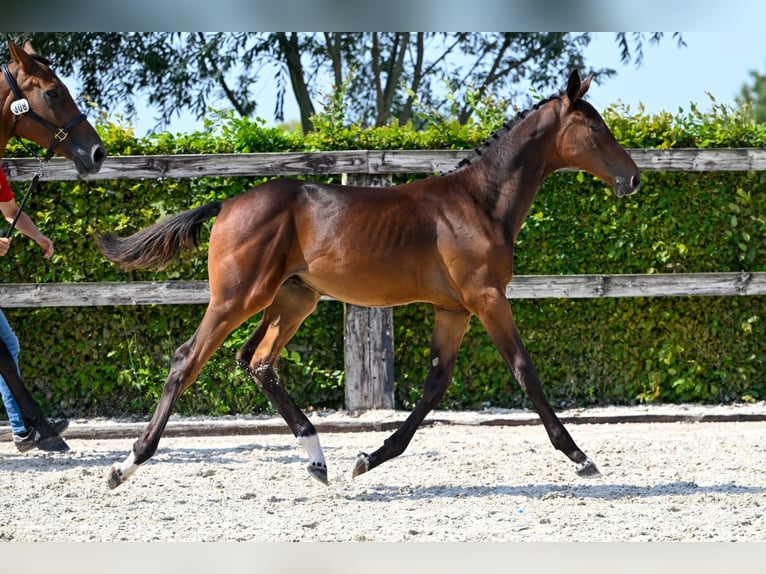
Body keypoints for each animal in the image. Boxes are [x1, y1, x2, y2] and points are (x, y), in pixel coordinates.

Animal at [99, 68, 640, 490]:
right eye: (595, 125)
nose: (632, 178)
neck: (480, 203)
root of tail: (228, 203)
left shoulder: (454, 309)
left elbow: (435, 385)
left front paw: (368, 458)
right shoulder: (487, 298)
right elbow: (525, 370)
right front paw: (580, 457)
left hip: (293, 299)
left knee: (258, 361)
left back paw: (318, 460)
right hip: (238, 297)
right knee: (187, 359)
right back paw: (126, 465)